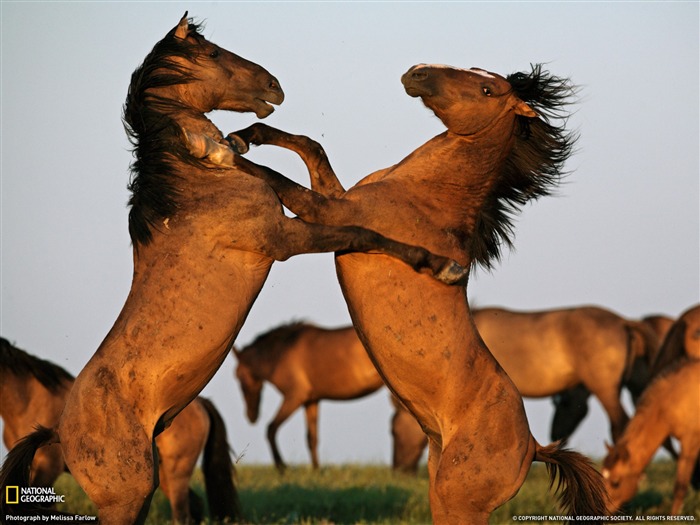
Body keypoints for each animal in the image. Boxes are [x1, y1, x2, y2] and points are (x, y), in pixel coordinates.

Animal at [235, 320, 388, 470]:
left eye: (237, 376)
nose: (251, 416)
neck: (283, 350)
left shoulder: (295, 397)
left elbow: (271, 429)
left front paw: (281, 466)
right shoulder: (311, 401)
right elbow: (311, 438)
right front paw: (316, 470)